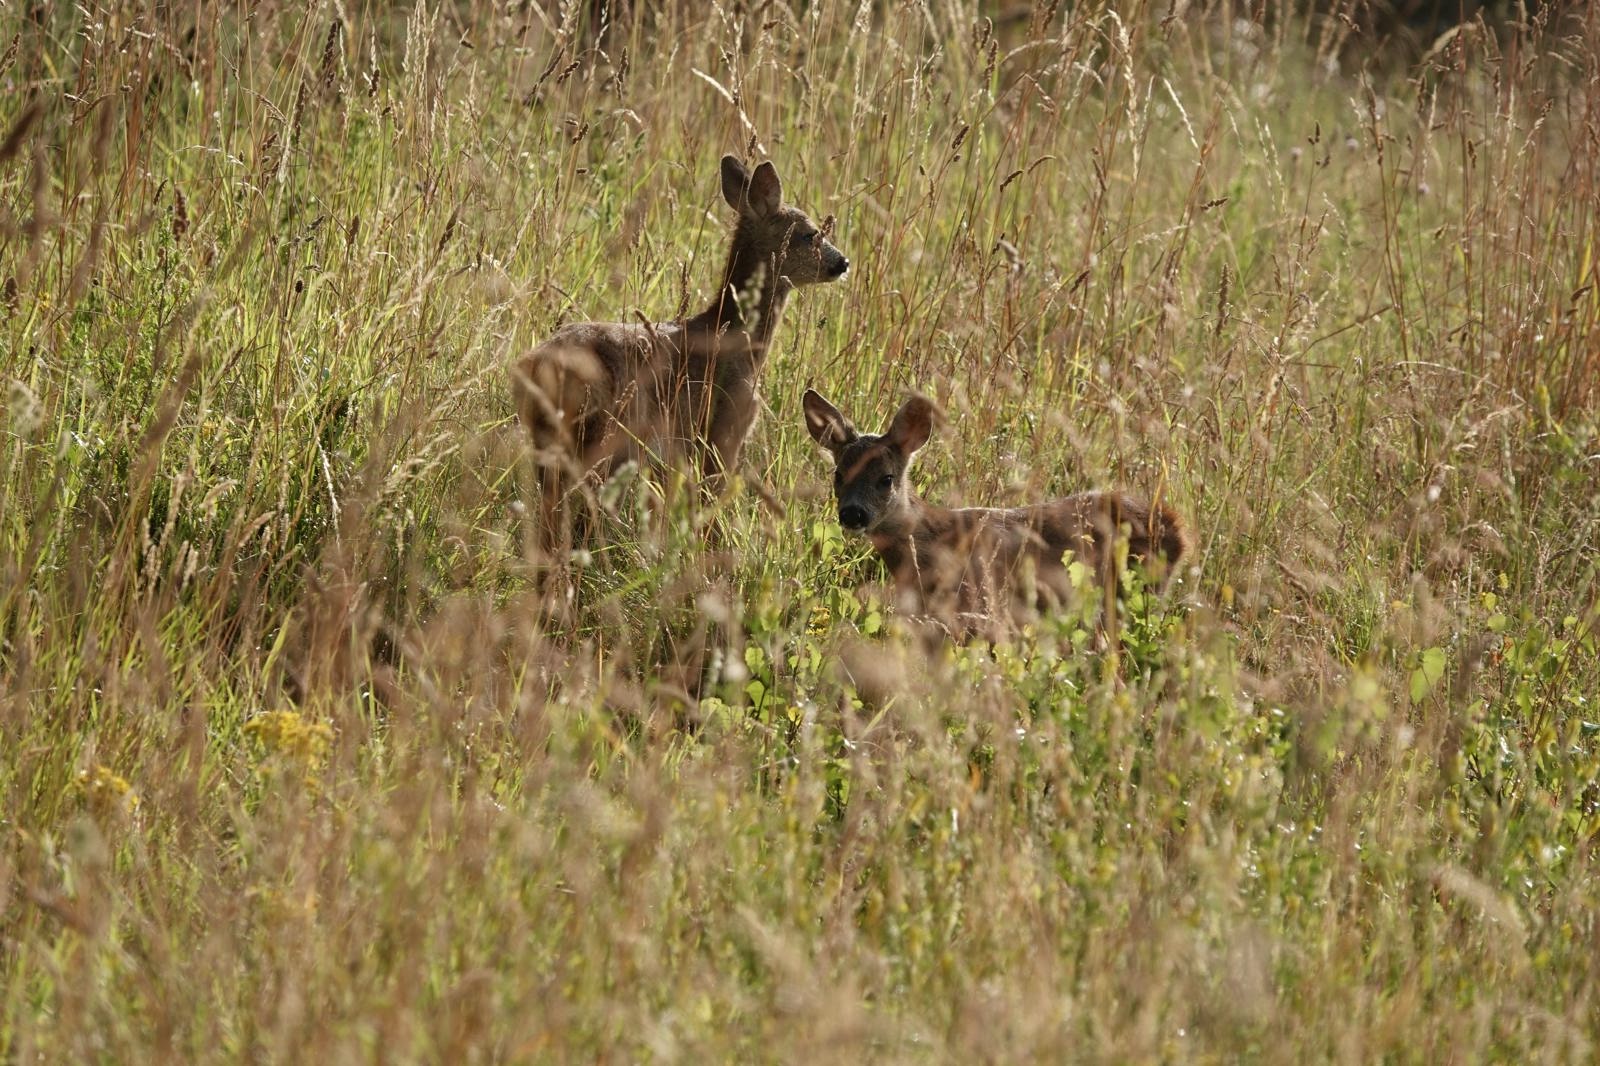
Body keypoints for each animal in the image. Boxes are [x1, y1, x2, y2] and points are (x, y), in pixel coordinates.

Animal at [512, 156, 848, 551]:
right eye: (810, 234)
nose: (843, 263)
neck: (737, 337)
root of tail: (532, 365)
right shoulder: (726, 427)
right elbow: (711, 502)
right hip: (601, 435)